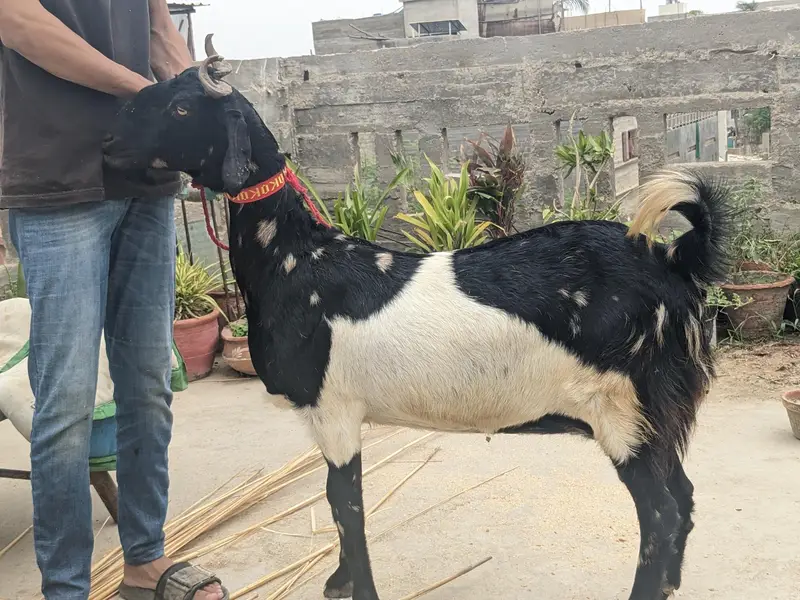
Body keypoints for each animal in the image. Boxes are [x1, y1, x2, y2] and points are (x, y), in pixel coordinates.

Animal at [103, 37, 732, 600]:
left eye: (181, 108)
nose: (108, 143)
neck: (300, 260)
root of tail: (674, 260)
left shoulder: (334, 410)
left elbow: (346, 507)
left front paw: (355, 587)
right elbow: (337, 504)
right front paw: (338, 581)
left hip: (625, 410)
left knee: (661, 513)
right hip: (657, 417)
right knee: (684, 496)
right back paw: (671, 582)